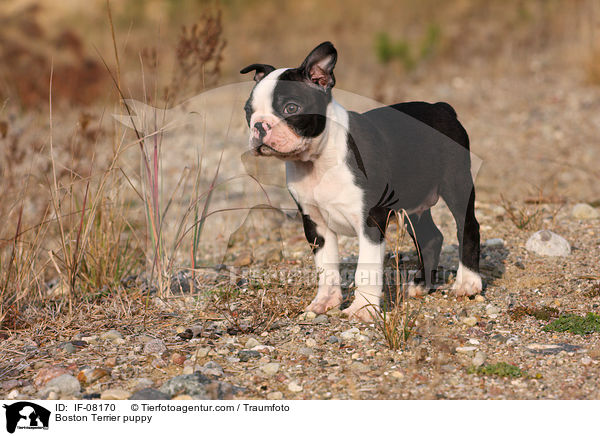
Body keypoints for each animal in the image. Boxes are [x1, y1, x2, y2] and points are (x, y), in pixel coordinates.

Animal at [241, 41, 480, 320]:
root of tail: (442, 107)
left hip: (456, 184)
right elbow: (326, 268)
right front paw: (325, 301)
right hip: (412, 204)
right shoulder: (315, 224)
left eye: (291, 108)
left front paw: (362, 309)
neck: (319, 160)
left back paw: (468, 283)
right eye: (248, 111)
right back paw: (421, 285)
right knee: (431, 237)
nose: (259, 126)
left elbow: (365, 269)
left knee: (467, 226)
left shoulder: (370, 221)